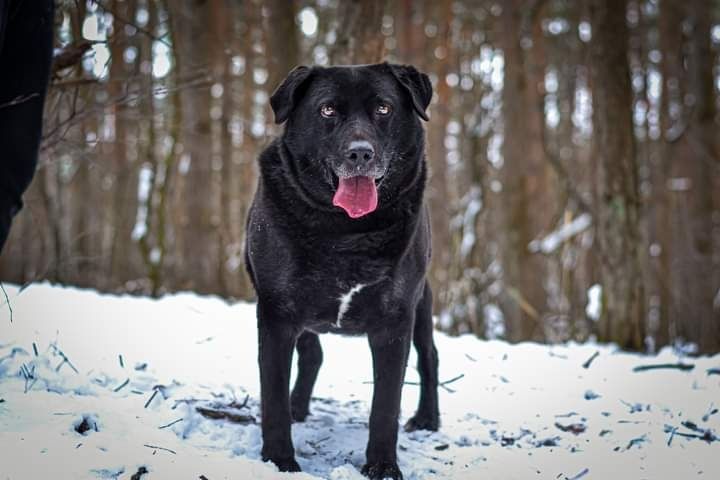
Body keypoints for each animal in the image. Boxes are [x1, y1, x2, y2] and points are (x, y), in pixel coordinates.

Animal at [246, 63, 438, 480]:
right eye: (327, 110)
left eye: (383, 108)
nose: (360, 153)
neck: (346, 232)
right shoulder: (276, 312)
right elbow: (273, 398)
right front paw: (279, 461)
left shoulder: (395, 318)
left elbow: (386, 406)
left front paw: (382, 467)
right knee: (311, 353)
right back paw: (299, 407)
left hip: (422, 302)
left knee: (429, 354)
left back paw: (428, 419)